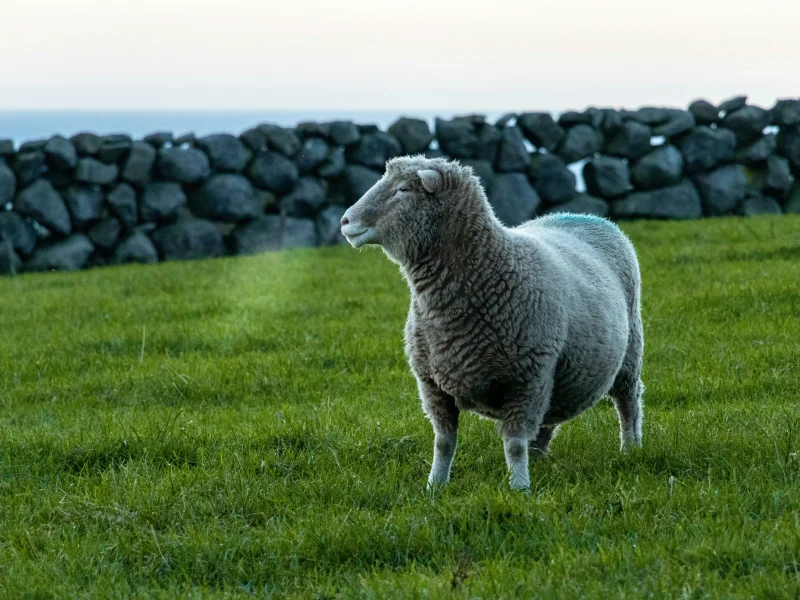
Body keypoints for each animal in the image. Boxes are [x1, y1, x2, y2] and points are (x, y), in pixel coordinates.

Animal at [340, 156, 644, 491]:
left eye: (403, 189)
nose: (345, 221)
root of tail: (585, 215)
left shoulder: (526, 381)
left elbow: (513, 444)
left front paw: (519, 488)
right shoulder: (432, 384)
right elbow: (443, 443)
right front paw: (435, 486)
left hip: (627, 353)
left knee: (628, 401)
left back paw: (630, 448)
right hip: (557, 377)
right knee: (547, 421)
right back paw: (540, 458)